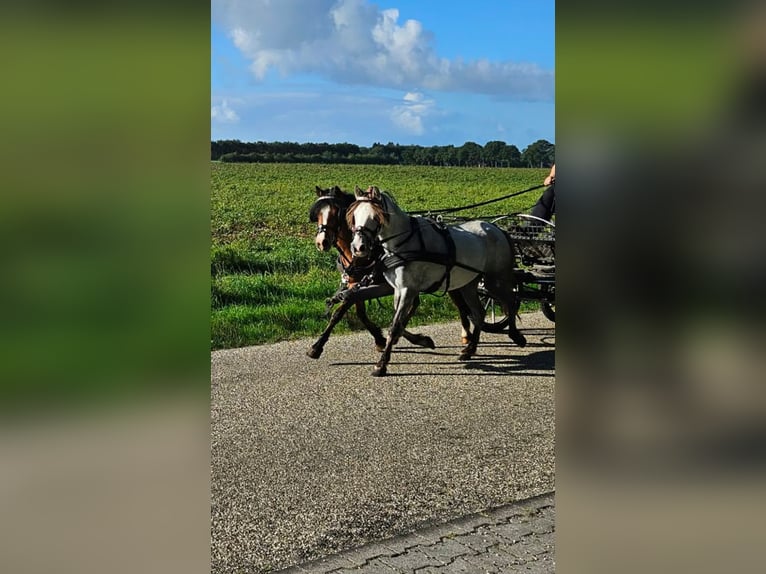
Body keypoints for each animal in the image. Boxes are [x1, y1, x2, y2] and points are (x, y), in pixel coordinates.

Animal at [308, 185, 450, 359]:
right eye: (318, 214)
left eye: (336, 212)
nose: (321, 242)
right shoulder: (355, 284)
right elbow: (359, 313)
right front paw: (379, 339)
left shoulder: (391, 284)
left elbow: (340, 311)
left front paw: (317, 346)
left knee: (413, 305)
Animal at [347, 185, 526, 377]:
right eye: (355, 216)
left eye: (375, 216)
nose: (358, 247)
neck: (404, 243)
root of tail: (496, 228)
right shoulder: (398, 289)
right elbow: (399, 323)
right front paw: (424, 340)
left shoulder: (408, 289)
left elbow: (395, 325)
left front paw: (381, 364)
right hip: (469, 284)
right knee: (479, 312)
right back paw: (470, 349)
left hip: (495, 279)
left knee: (510, 301)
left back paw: (516, 336)